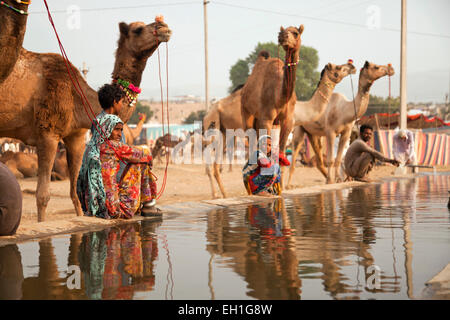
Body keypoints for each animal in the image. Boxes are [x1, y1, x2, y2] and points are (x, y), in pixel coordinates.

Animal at [0, 18, 172, 221]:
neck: (78, 96)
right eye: (138, 29)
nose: (164, 28)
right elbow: (42, 196)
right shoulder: (47, 133)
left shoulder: (76, 136)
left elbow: (75, 193)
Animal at [241, 24, 304, 155]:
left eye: (296, 33)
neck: (280, 98)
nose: (282, 36)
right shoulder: (266, 119)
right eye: (282, 31)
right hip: (247, 113)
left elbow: (281, 150)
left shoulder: (288, 122)